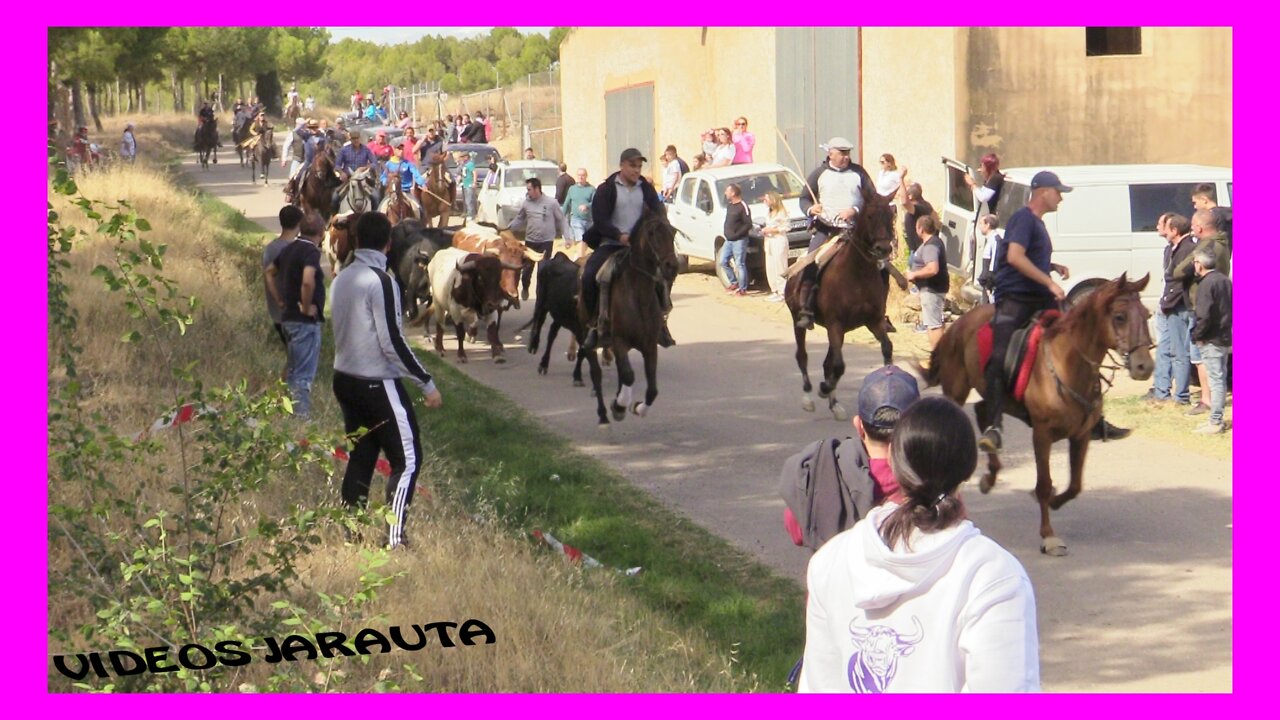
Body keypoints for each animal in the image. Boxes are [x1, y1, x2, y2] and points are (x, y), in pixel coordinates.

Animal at [578, 204, 680, 422]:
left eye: (673, 231)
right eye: (651, 233)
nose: (672, 266)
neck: (638, 296)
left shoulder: (650, 345)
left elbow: (652, 389)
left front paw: (636, 407)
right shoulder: (620, 341)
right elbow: (628, 375)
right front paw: (619, 405)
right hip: (587, 336)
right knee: (596, 373)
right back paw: (604, 416)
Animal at [783, 185, 896, 420]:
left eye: (890, 216)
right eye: (870, 216)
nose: (883, 249)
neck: (857, 273)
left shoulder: (873, 322)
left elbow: (886, 349)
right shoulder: (835, 324)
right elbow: (839, 365)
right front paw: (823, 388)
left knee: (827, 364)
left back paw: (834, 404)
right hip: (799, 321)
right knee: (803, 356)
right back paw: (809, 397)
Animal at [916, 271, 1157, 550]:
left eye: (1147, 315)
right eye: (1120, 317)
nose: (1144, 366)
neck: (1067, 365)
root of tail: (959, 323)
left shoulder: (1081, 435)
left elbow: (1075, 485)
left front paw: (1055, 501)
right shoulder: (1042, 434)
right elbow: (1044, 483)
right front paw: (1048, 535)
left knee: (983, 412)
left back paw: (990, 472)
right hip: (956, 391)